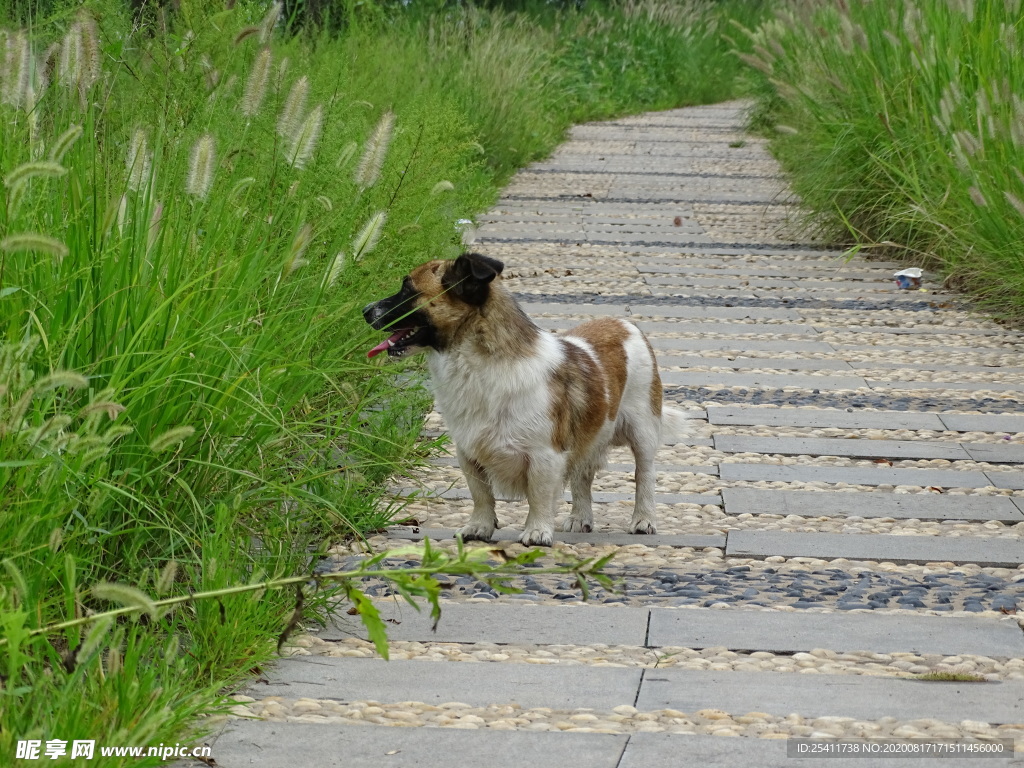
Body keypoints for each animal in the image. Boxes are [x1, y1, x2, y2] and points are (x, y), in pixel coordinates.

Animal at [364, 252, 692, 548]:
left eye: (407, 290)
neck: (476, 364)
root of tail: (623, 323)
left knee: (644, 475)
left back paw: (643, 519)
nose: (365, 310)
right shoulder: (468, 454)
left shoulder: (545, 455)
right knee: (582, 477)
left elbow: (538, 496)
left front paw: (536, 530)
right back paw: (580, 517)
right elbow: (481, 495)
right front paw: (479, 527)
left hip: (642, 429)